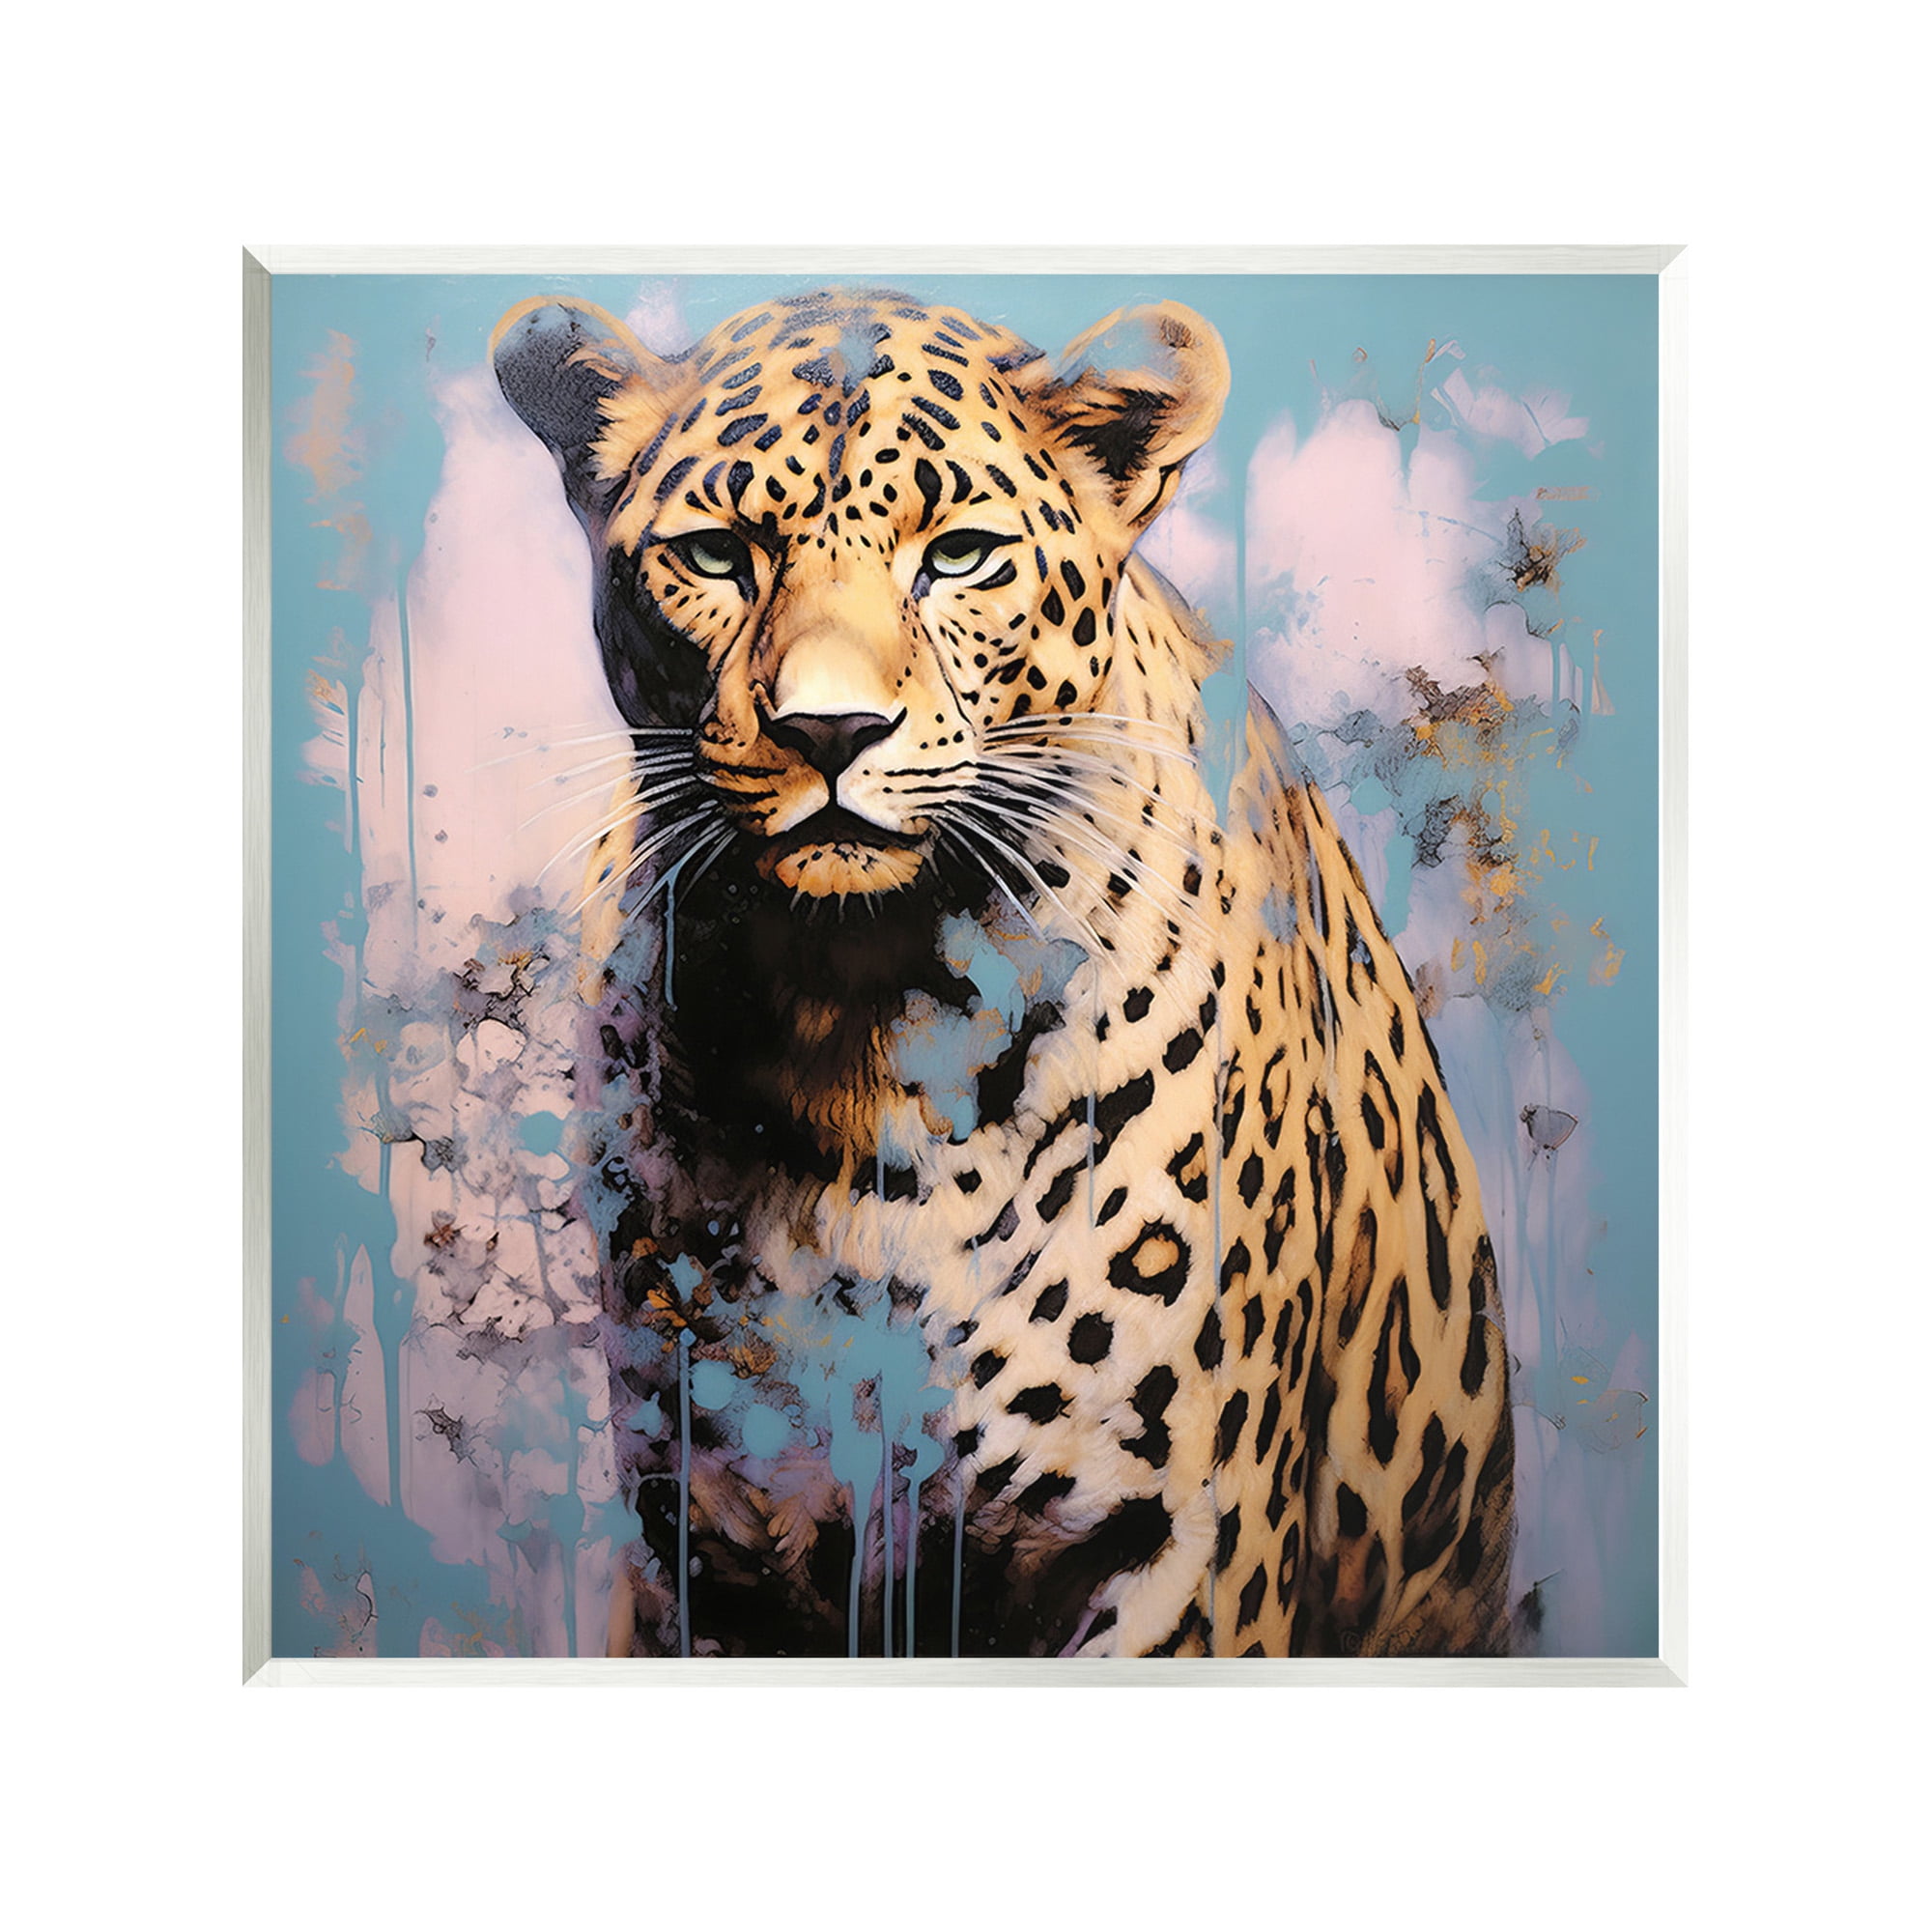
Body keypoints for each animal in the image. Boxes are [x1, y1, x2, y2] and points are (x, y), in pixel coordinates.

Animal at [491, 285, 1514, 1658]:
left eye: (961, 554)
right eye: (714, 557)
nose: (828, 730)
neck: (851, 1024)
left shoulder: (1168, 1546)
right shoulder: (700, 1549)